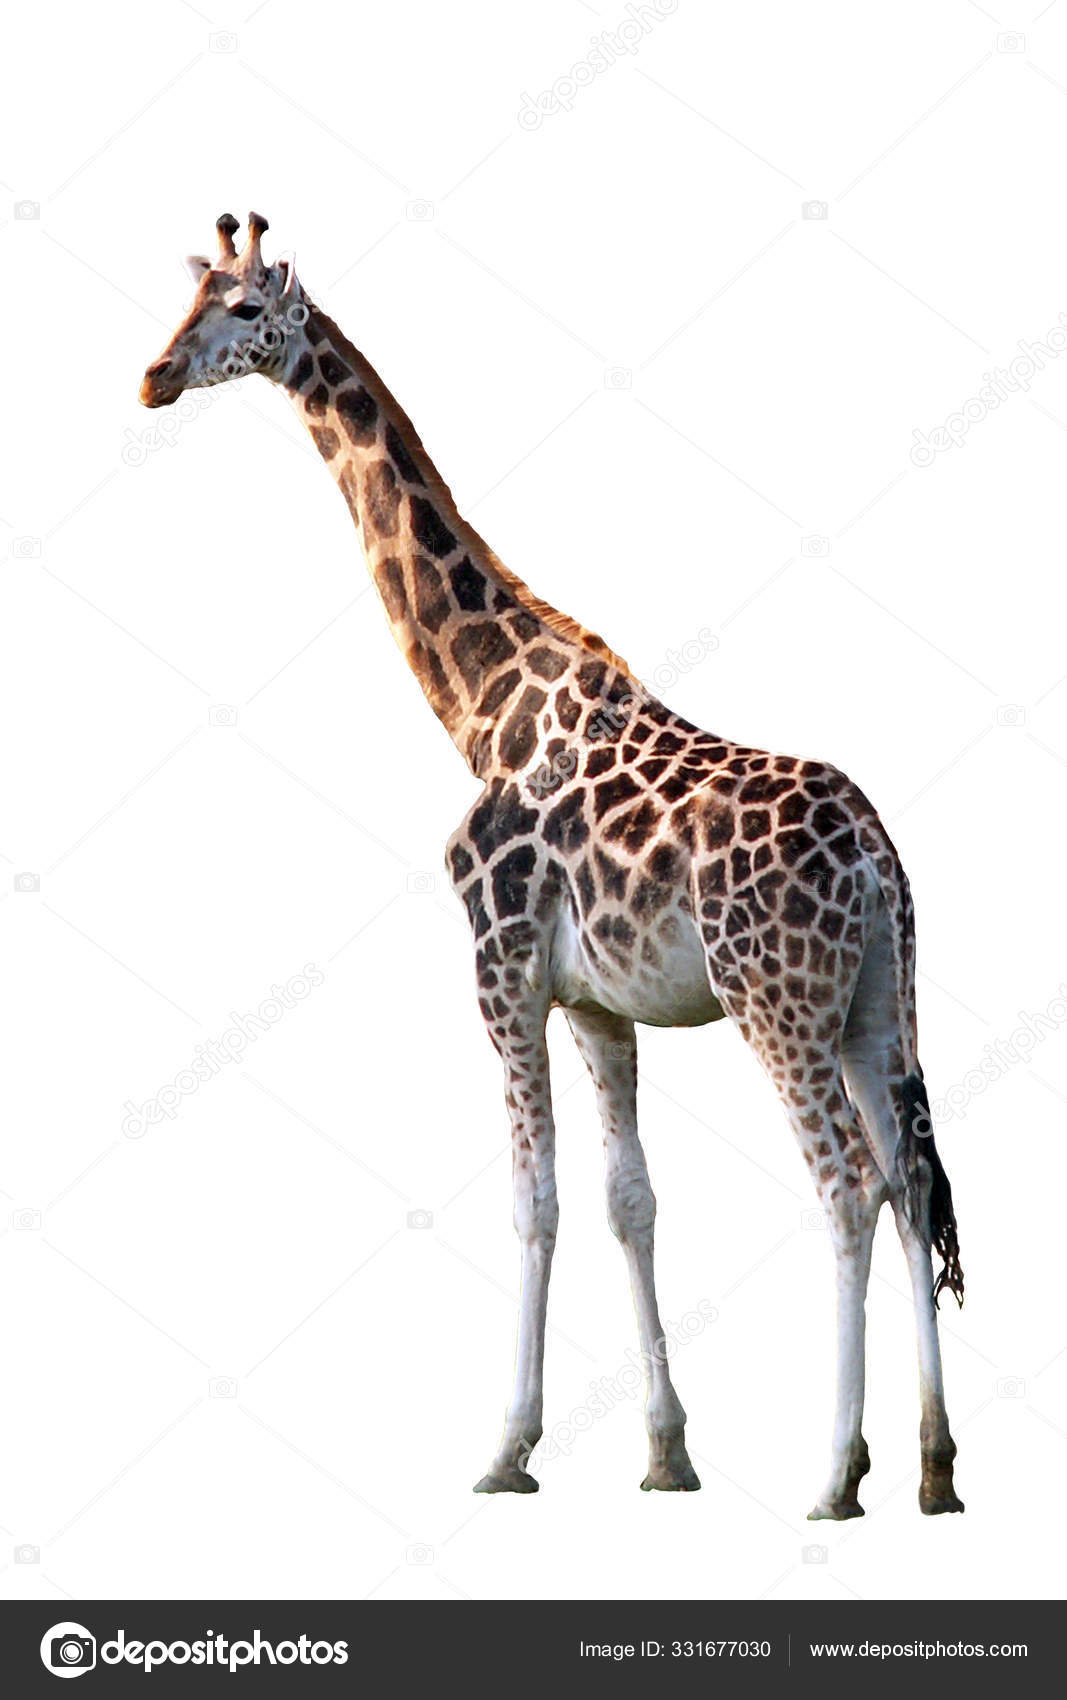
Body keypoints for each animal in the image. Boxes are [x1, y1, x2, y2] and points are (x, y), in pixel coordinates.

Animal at [140, 213, 965, 1518]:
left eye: (241, 311)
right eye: (185, 302)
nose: (154, 377)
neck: (477, 701)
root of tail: (879, 861)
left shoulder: (502, 972)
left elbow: (534, 1200)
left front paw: (505, 1447)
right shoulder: (596, 1003)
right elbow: (630, 1198)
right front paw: (664, 1453)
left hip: (776, 1004)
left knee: (843, 1179)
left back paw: (837, 1468)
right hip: (879, 1002)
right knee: (909, 1176)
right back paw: (934, 1467)